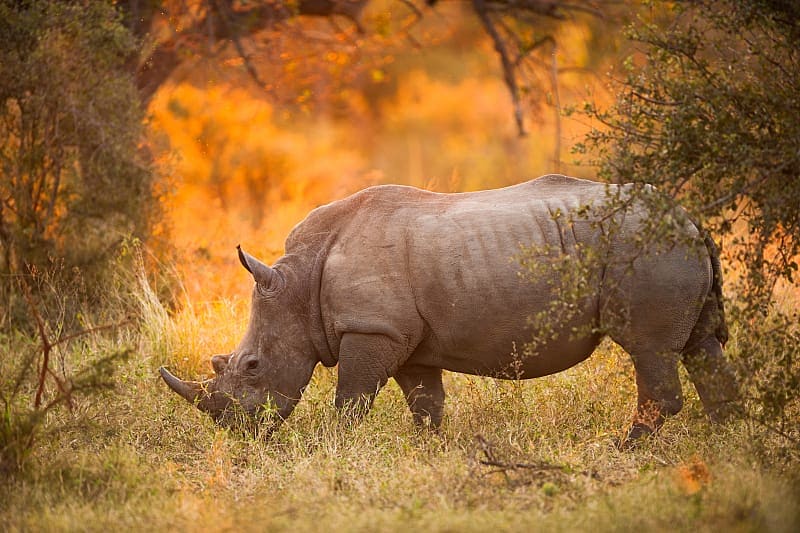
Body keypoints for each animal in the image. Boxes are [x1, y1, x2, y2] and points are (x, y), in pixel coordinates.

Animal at [160, 175, 738, 441]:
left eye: (253, 366)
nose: (237, 432)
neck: (299, 282)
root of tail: (687, 217)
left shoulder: (372, 329)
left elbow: (352, 400)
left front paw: (335, 446)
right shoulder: (405, 338)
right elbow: (426, 405)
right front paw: (429, 452)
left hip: (648, 249)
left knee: (650, 349)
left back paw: (624, 449)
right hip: (668, 247)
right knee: (700, 346)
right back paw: (728, 445)